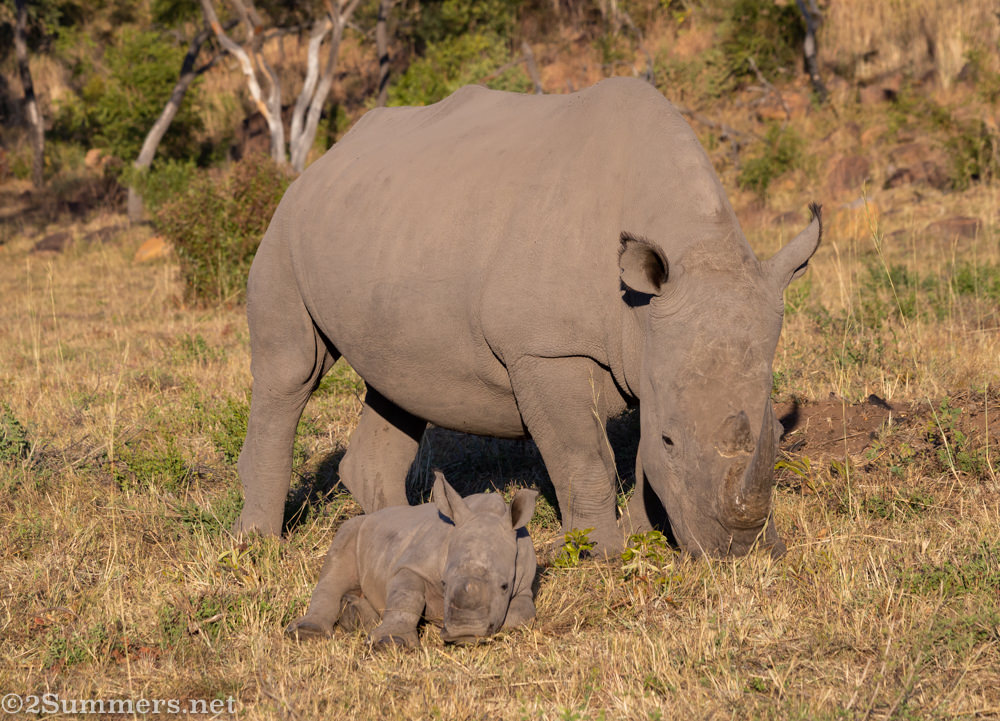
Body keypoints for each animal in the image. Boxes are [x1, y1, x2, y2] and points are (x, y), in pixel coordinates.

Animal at [235, 77, 821, 556]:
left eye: (777, 429)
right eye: (673, 441)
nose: (740, 551)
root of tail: (323, 159)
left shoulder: (653, 354)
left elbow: (638, 463)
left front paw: (642, 540)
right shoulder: (544, 350)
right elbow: (586, 458)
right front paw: (599, 554)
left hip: (385, 229)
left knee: (394, 385)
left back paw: (396, 544)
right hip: (285, 225)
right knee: (291, 372)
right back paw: (259, 546)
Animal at [286, 471, 538, 647]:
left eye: (504, 586)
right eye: (444, 583)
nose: (465, 632)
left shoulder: (525, 584)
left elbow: (521, 614)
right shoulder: (413, 564)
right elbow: (406, 596)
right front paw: (390, 643)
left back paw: (354, 617)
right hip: (356, 527)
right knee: (336, 568)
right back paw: (306, 633)